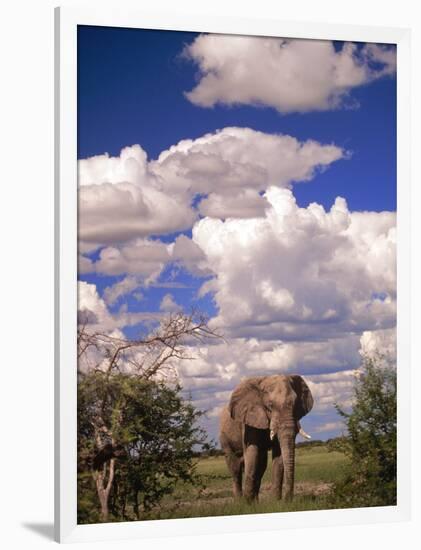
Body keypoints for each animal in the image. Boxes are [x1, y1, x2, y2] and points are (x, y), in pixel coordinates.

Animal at [220, 376, 312, 504]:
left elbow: (278, 455)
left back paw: (256, 502)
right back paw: (239, 502)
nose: (287, 500)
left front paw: (275, 502)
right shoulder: (248, 420)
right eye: (270, 405)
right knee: (235, 468)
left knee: (261, 466)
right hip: (224, 438)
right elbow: (251, 451)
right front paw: (247, 504)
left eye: (295, 403)